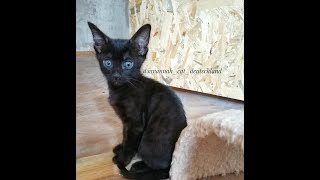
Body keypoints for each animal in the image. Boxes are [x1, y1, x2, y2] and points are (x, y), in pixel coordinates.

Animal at [87, 21, 188, 179]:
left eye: (128, 64)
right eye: (108, 62)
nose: (116, 76)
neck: (123, 89)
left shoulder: (136, 124)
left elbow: (130, 145)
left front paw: (121, 160)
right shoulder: (126, 122)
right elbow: (125, 137)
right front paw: (120, 148)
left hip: (148, 141)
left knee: (162, 166)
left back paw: (138, 166)